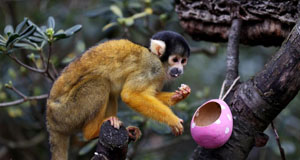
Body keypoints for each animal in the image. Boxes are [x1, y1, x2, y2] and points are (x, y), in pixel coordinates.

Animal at [46, 30, 192, 159]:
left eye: (183, 61)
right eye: (175, 59)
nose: (179, 70)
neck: (158, 59)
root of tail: (51, 121)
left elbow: (149, 94)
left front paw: (179, 95)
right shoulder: (152, 68)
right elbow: (130, 95)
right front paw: (172, 119)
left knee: (110, 92)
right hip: (67, 113)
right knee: (100, 83)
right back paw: (92, 132)